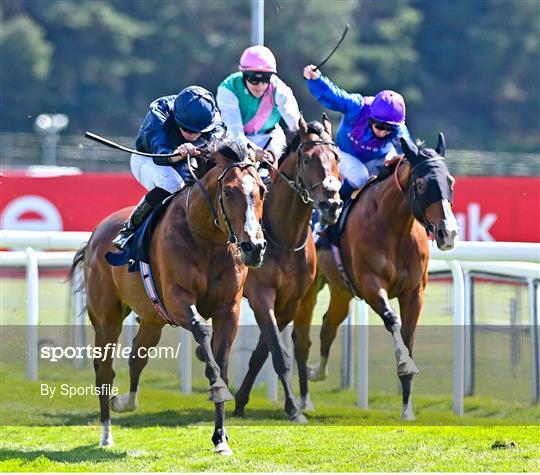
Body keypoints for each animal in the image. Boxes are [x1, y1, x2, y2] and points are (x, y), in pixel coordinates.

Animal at [69, 139, 268, 456]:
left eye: (262, 190)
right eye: (228, 191)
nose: (254, 247)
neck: (207, 238)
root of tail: (95, 235)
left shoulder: (229, 309)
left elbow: (221, 362)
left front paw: (221, 439)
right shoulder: (177, 301)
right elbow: (202, 331)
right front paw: (215, 385)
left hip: (152, 320)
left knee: (137, 358)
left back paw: (125, 402)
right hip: (106, 317)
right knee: (105, 370)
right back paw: (106, 434)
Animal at [231, 117, 342, 422]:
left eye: (336, 157)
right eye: (307, 158)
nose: (331, 204)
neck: (285, 236)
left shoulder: (291, 301)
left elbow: (265, 351)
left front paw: (241, 401)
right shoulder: (261, 295)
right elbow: (278, 353)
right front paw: (292, 408)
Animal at [294, 133, 458, 420]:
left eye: (450, 181)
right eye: (421, 183)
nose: (447, 233)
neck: (394, 228)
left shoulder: (414, 293)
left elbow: (408, 337)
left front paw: (407, 410)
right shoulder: (370, 285)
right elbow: (392, 320)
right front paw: (405, 363)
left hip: (341, 290)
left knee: (328, 326)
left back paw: (319, 373)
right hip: (310, 289)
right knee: (302, 339)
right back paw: (305, 400)